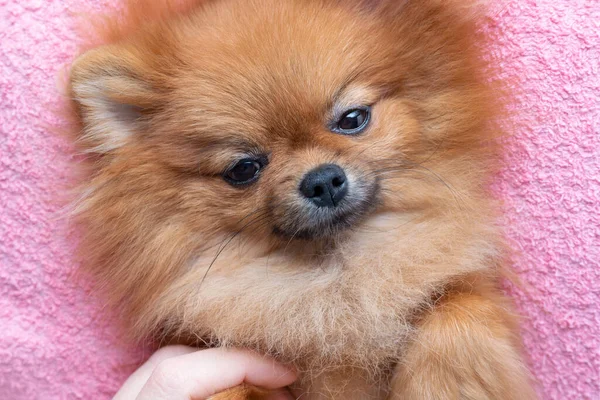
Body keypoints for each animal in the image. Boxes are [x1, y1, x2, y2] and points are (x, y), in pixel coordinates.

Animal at [68, 0, 536, 396]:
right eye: (244, 168)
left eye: (353, 118)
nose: (323, 180)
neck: (335, 279)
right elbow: (226, 387)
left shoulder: (456, 283)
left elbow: (457, 304)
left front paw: (445, 385)